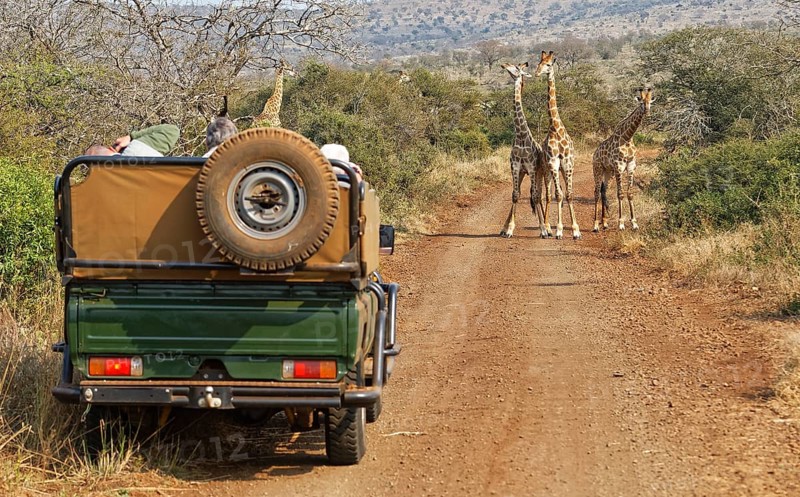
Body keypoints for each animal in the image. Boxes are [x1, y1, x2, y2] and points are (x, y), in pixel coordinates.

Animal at [499, 62, 548, 238]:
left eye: (516, 68)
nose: (503, 64)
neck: (521, 135)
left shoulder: (532, 168)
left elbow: (534, 195)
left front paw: (543, 229)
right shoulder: (516, 167)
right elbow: (515, 195)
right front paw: (509, 229)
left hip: (542, 173)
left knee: (539, 195)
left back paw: (548, 228)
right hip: (522, 174)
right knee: (522, 193)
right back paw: (504, 228)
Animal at [592, 87, 654, 232]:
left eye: (650, 103)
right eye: (641, 103)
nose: (647, 112)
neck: (627, 137)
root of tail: (595, 153)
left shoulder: (631, 166)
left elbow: (629, 193)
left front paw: (634, 223)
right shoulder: (619, 167)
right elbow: (620, 193)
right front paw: (621, 223)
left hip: (608, 172)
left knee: (603, 191)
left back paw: (605, 223)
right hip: (597, 169)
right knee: (596, 192)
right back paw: (596, 225)